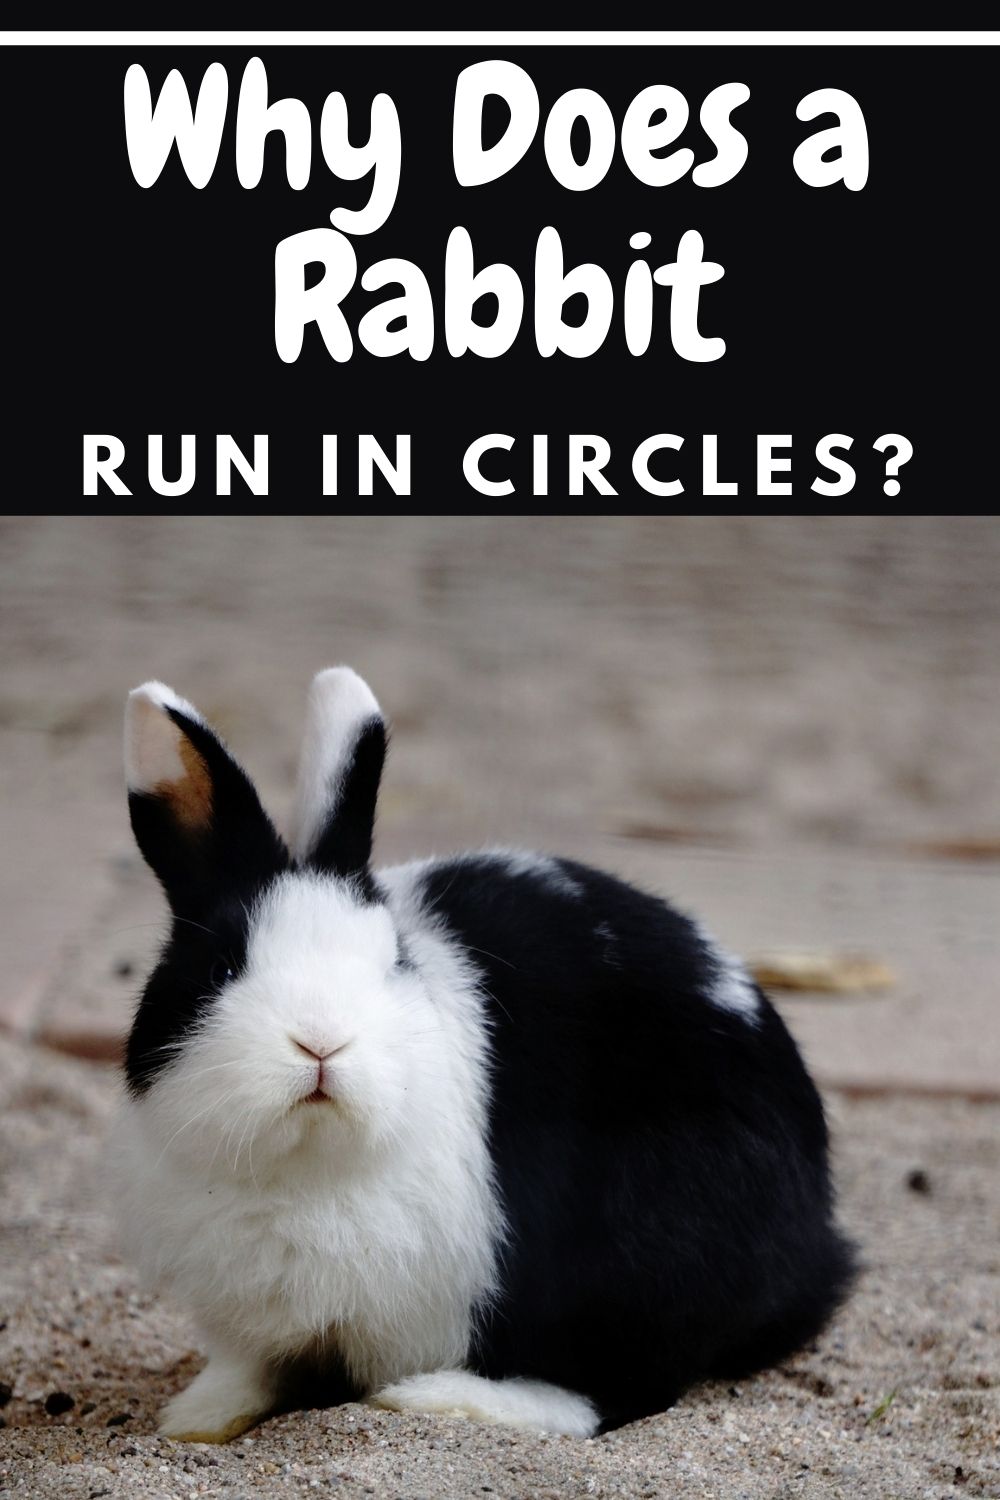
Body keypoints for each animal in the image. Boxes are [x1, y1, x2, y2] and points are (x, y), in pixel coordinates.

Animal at [111, 667, 854, 1444]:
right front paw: (194, 1419)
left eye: (393, 961)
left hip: (650, 1250)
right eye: (223, 966)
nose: (321, 1041)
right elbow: (251, 1371)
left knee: (621, 1387)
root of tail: (811, 1247)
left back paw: (438, 1397)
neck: (304, 1169)